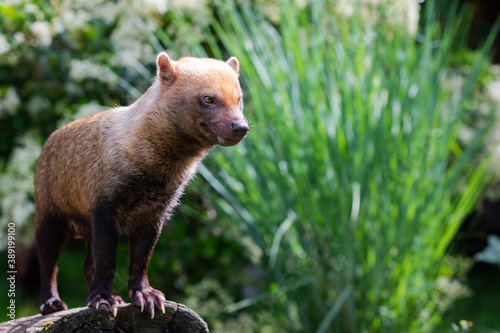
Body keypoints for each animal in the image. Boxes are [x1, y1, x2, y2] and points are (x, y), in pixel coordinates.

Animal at [34, 53, 249, 318]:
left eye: (239, 98)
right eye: (208, 98)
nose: (241, 127)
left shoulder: (154, 215)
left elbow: (140, 260)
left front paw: (146, 298)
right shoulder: (104, 210)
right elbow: (107, 261)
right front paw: (102, 300)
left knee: (86, 265)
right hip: (49, 219)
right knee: (48, 264)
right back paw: (52, 304)